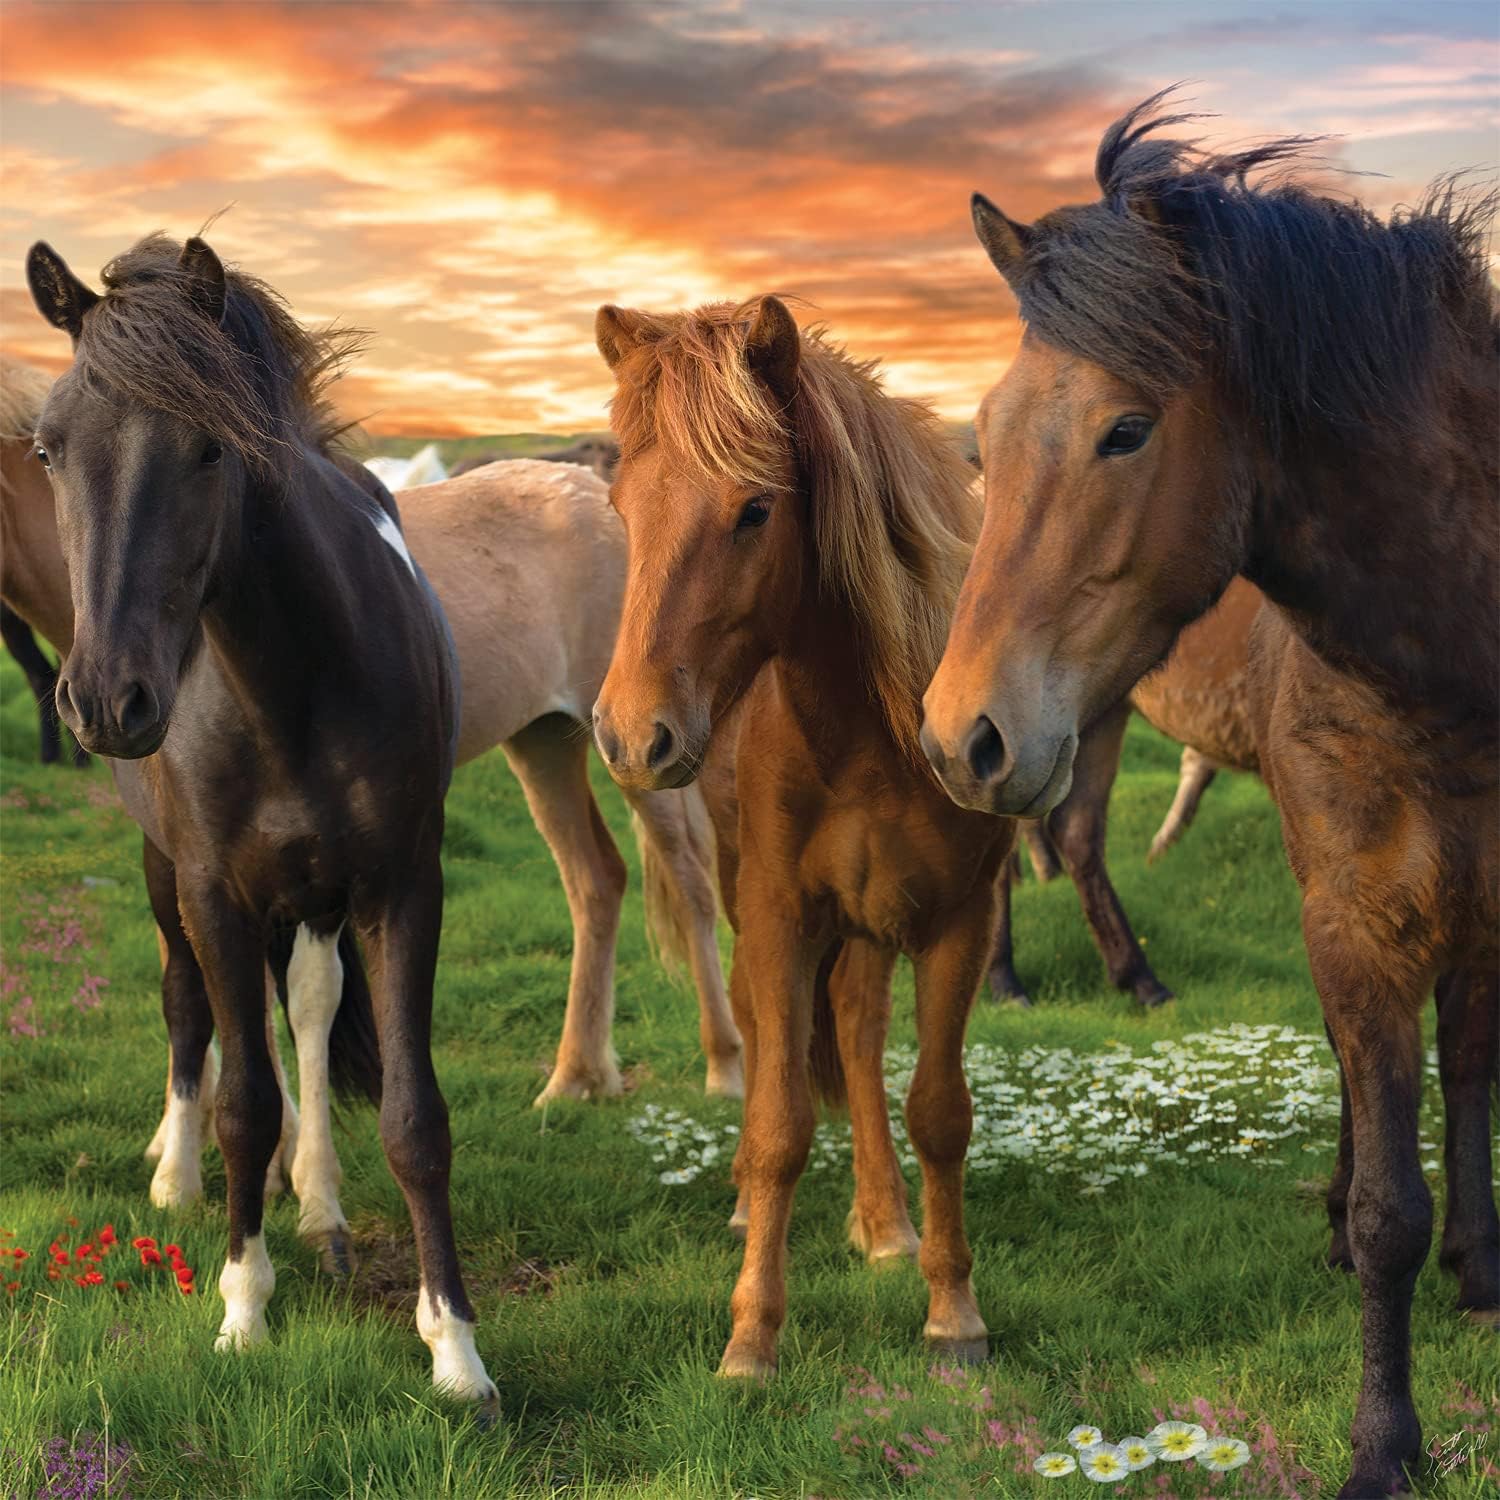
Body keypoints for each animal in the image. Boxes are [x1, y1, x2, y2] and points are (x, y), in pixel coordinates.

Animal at [26, 233, 498, 1413]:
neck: (290, 679)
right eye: (48, 450)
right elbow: (240, 1096)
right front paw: (243, 1308)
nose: (105, 700)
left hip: (318, 898)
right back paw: (178, 1170)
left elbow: (412, 1116)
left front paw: (455, 1347)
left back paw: (317, 1197)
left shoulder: (399, 887)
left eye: (208, 450)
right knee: (188, 1010)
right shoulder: (212, 890)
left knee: (311, 1010)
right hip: (168, 880)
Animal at [592, 295, 1015, 1377]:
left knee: (860, 1036)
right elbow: (780, 1119)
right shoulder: (780, 915)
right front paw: (752, 1334)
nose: (632, 735)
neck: (871, 735)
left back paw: (885, 1220)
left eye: (753, 511)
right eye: (621, 508)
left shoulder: (960, 920)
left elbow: (938, 1111)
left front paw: (953, 1310)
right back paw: (758, 1210)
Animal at [921, 97, 1497, 1497]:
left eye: (1127, 429)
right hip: (1088, 723)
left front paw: (1485, 1262)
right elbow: (1390, 1204)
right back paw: (1050, 979)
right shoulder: (1354, 913)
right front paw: (1383, 1443)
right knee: (1052, 838)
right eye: (986, 438)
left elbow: (1472, 1078)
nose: (954, 730)